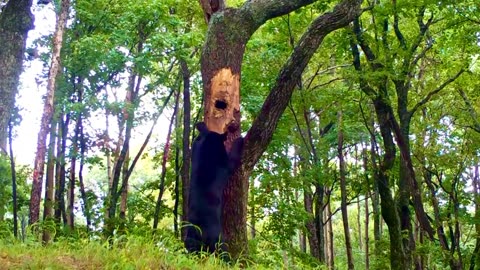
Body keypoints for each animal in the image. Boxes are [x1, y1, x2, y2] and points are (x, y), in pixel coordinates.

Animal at [184, 122, 244, 255]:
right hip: (218, 241)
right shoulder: (227, 164)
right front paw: (239, 139)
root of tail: (197, 229)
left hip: (190, 242)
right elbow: (234, 154)